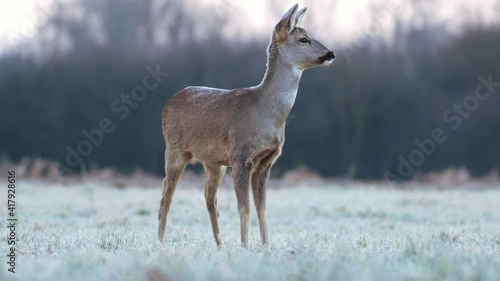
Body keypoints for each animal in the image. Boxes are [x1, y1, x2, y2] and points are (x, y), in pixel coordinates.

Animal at [158, 3, 334, 246]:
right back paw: (160, 243)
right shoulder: (241, 157)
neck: (265, 112)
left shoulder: (266, 162)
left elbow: (262, 209)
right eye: (304, 39)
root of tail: (168, 103)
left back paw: (220, 246)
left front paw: (266, 245)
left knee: (209, 198)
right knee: (166, 195)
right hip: (174, 150)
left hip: (214, 162)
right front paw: (245, 246)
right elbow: (244, 208)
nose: (331, 54)